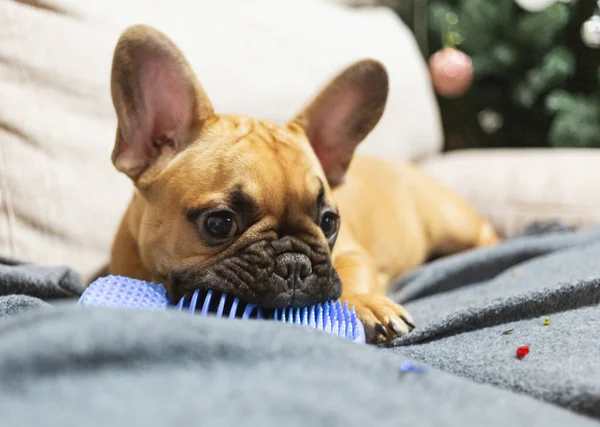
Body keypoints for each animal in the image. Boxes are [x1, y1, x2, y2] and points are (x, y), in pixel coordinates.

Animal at [106, 25, 496, 344]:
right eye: (219, 223)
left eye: (329, 221)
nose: (295, 264)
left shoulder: (352, 253)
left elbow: (352, 275)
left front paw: (366, 304)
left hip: (451, 222)